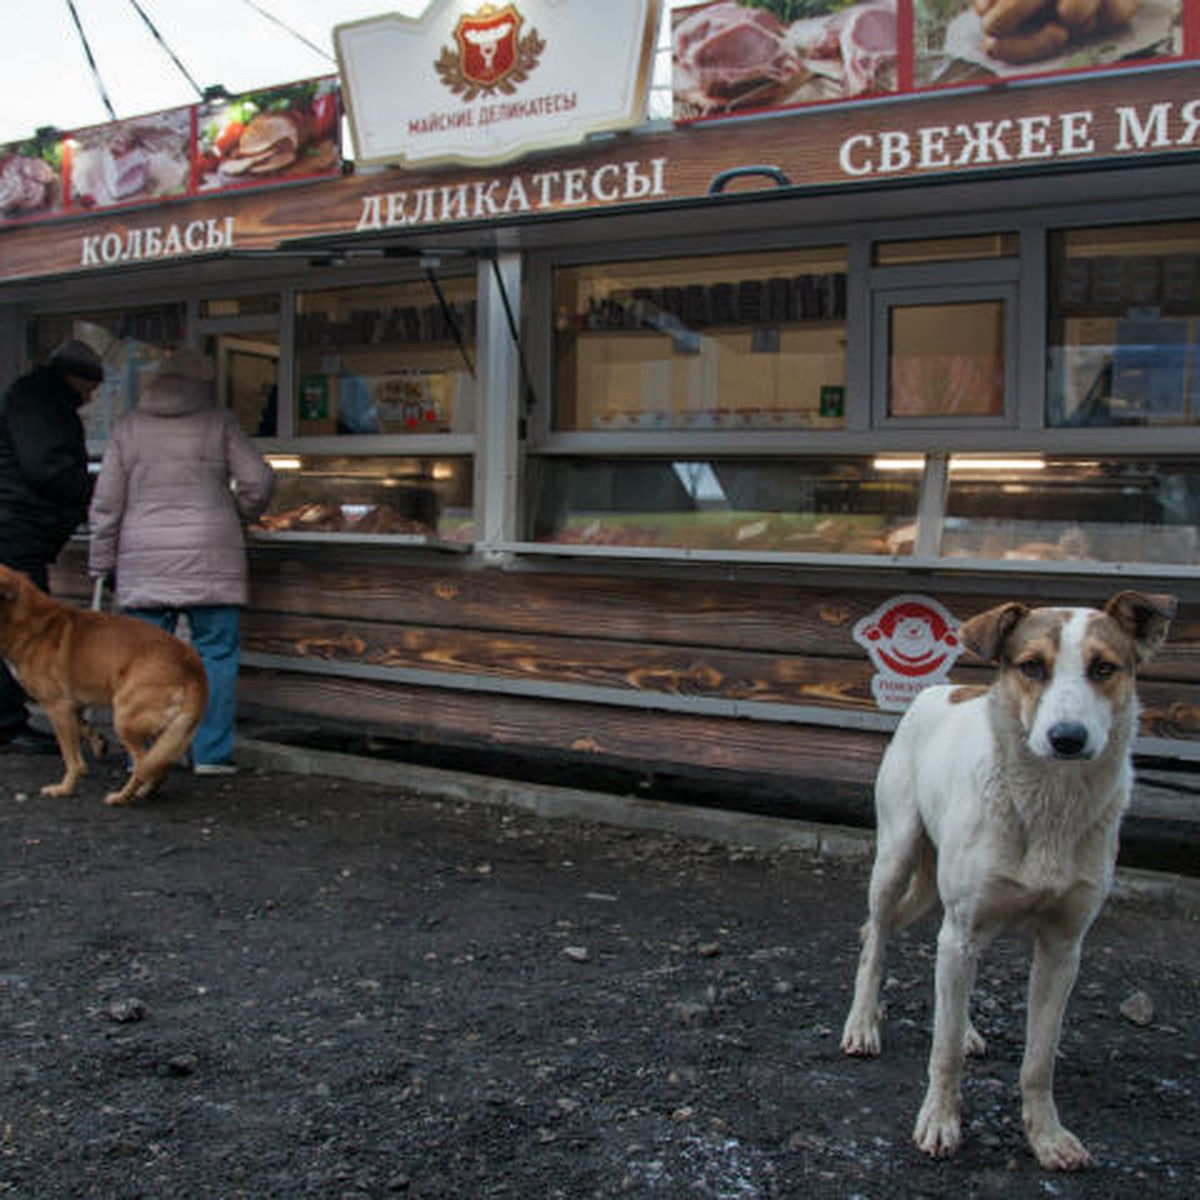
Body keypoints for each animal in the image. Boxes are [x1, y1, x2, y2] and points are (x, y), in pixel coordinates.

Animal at [0, 564, 206, 806]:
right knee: (158, 767)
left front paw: (64, 789)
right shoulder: (71, 705)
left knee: (142, 764)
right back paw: (144, 791)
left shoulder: (57, 706)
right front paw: (97, 743)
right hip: (167, 731)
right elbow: (82, 728)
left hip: (125, 719)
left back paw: (122, 797)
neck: (26, 619)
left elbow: (71, 758)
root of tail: (191, 666)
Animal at [844, 590, 1171, 1171]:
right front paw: (940, 1121)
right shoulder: (962, 927)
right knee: (876, 941)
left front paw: (1047, 1136)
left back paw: (968, 1028)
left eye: (1104, 668)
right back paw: (862, 1023)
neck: (1048, 806)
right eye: (1032, 666)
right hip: (896, 858)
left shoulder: (1062, 948)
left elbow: (1038, 1059)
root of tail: (945, 687)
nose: (1067, 738)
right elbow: (943, 1051)